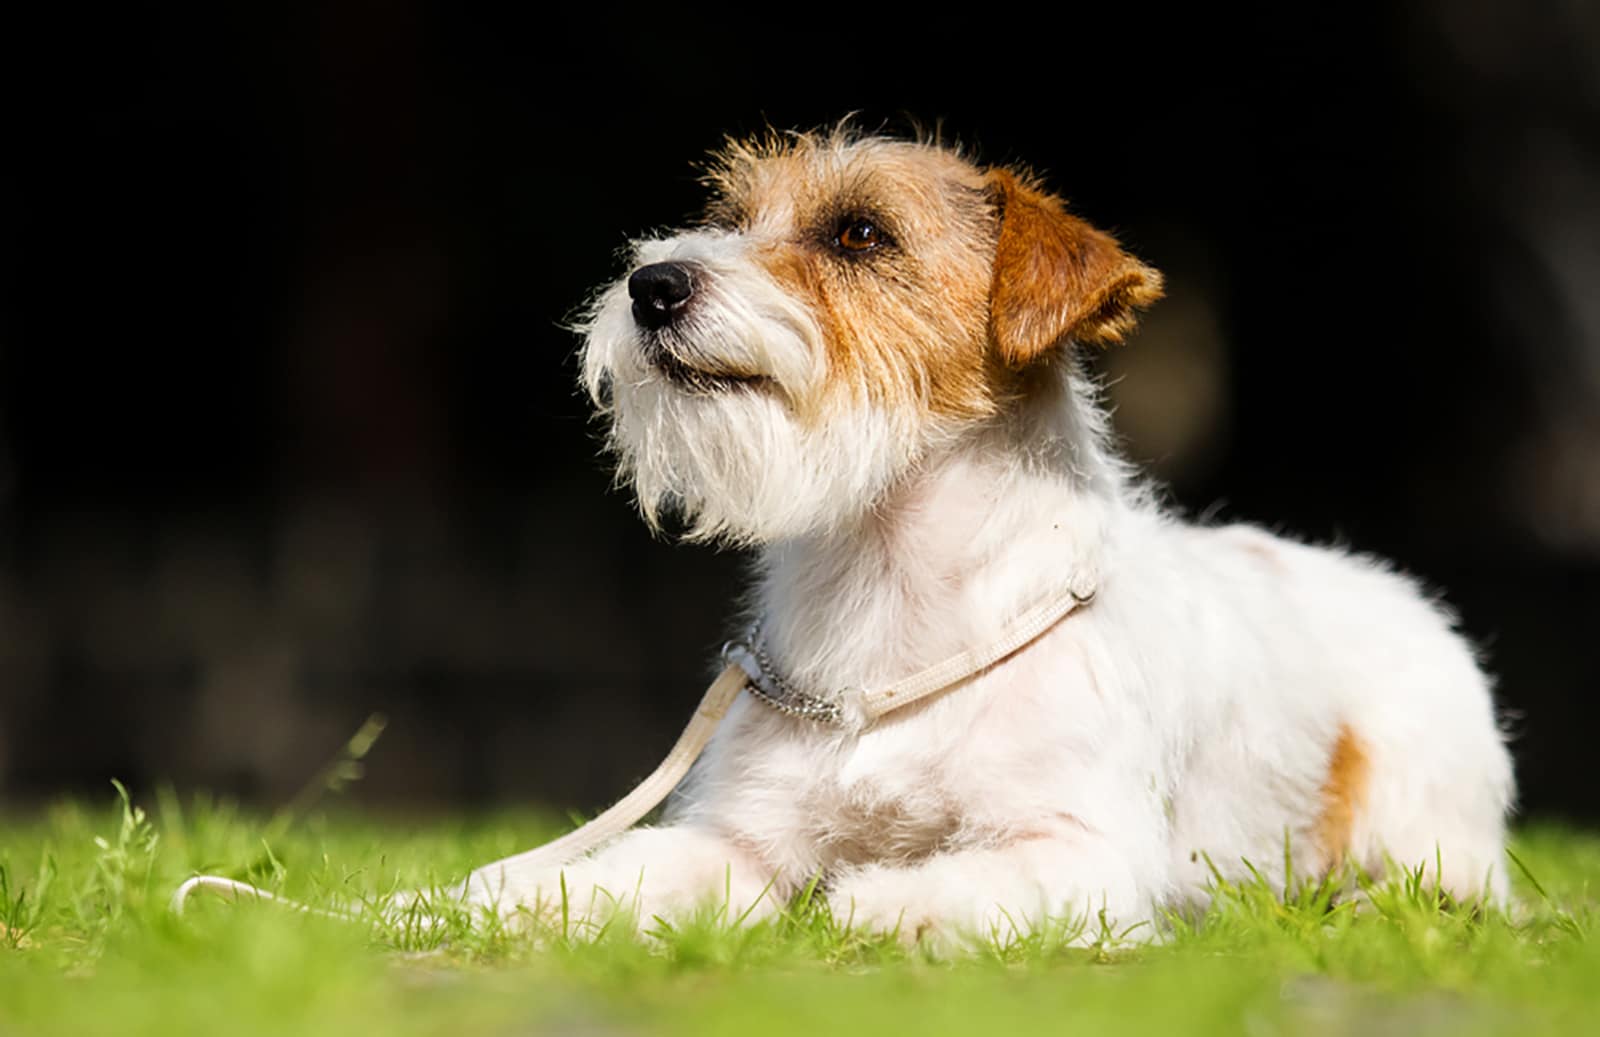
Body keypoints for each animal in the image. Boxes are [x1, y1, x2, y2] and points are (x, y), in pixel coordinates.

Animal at [460, 125, 1510, 940]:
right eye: (730, 215)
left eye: (860, 233)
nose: (653, 283)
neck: (890, 582)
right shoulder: (737, 843)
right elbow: (607, 877)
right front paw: (480, 902)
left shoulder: (1088, 851)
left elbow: (954, 880)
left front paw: (882, 901)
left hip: (1422, 808)